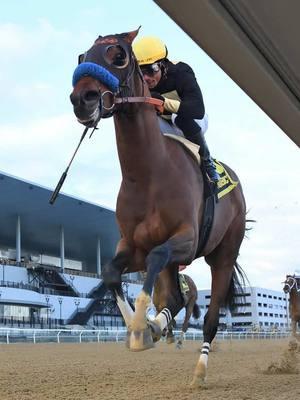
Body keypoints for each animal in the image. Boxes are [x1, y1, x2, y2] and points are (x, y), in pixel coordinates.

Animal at [69, 28, 246, 384]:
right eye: (83, 56)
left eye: (118, 55)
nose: (83, 99)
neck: (150, 173)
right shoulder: (133, 244)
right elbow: (111, 272)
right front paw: (139, 329)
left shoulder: (187, 239)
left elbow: (156, 257)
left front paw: (141, 327)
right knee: (175, 298)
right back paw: (158, 327)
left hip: (222, 254)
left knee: (210, 318)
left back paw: (199, 371)